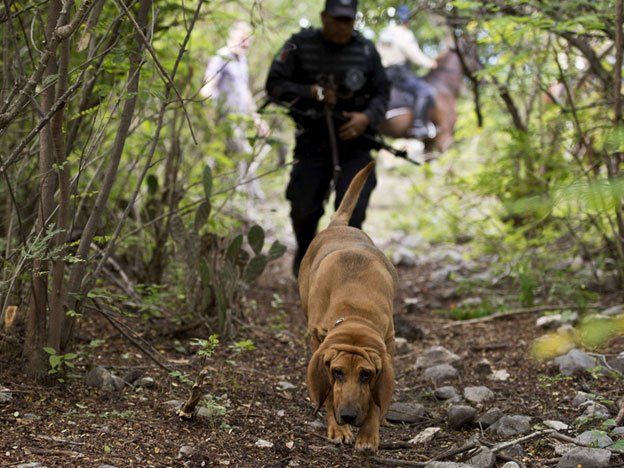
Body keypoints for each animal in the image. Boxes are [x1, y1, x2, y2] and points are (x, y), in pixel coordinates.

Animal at [298, 162, 398, 452]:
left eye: (366, 375)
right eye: (338, 372)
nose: (349, 417)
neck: (355, 312)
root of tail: (339, 224)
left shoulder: (388, 344)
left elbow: (375, 400)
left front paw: (368, 434)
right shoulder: (319, 342)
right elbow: (329, 394)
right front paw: (338, 429)